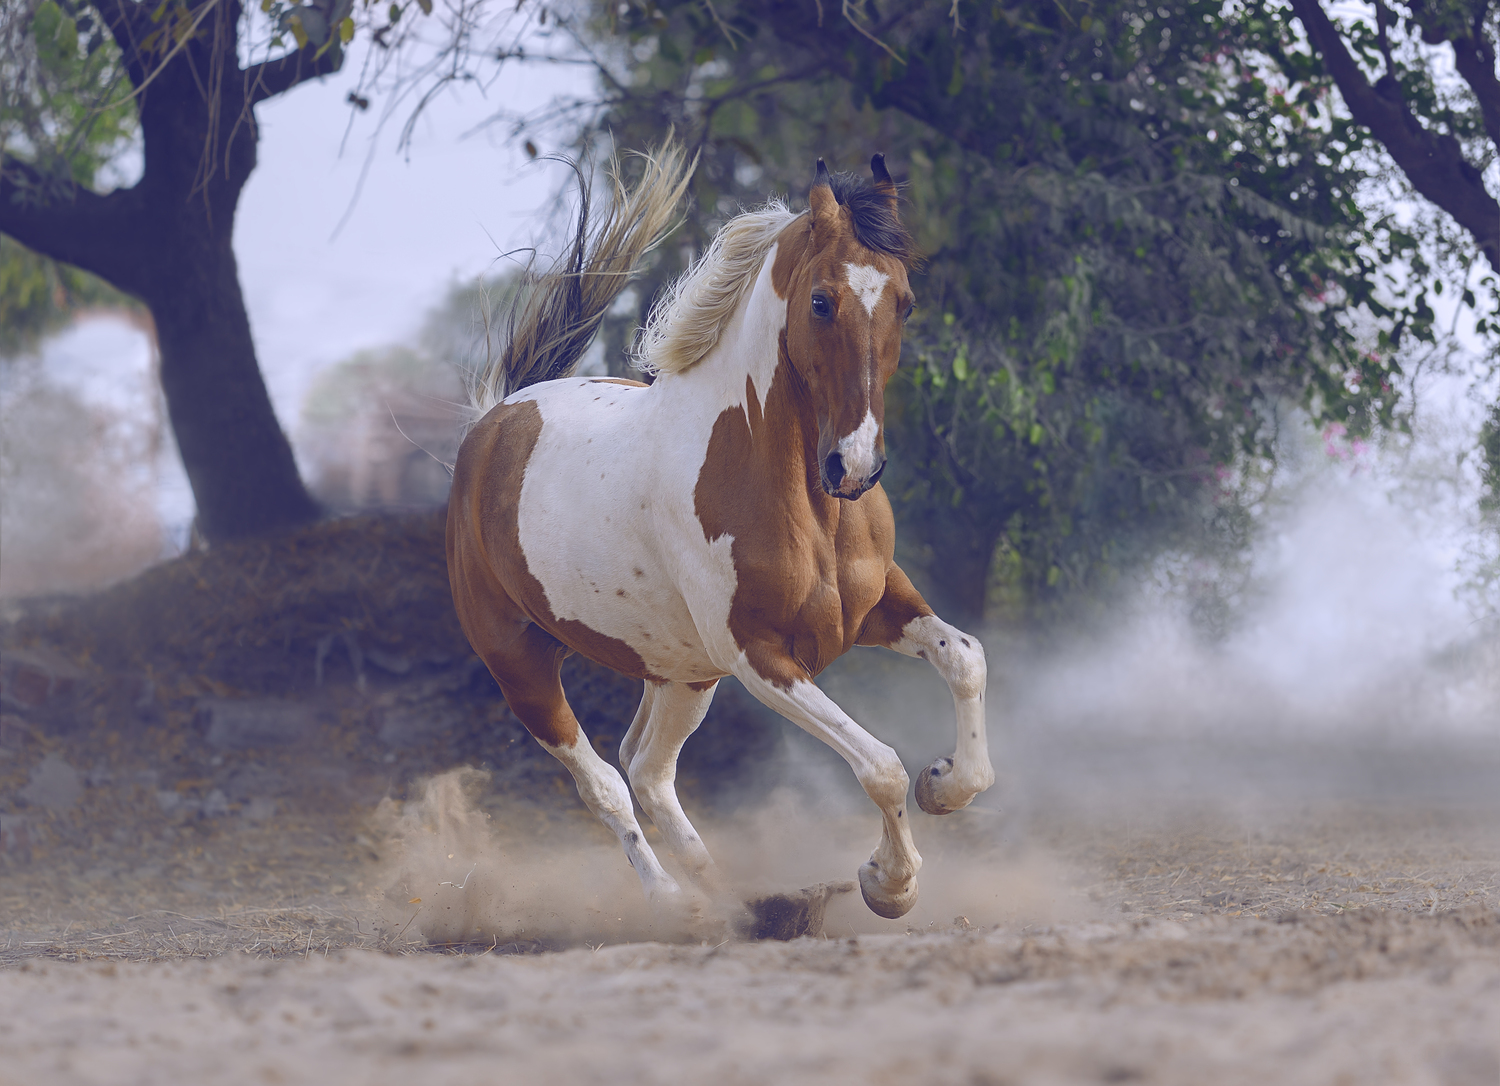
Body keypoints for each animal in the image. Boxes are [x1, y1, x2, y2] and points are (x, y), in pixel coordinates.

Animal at [446, 143, 994, 921]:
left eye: (905, 301)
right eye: (821, 301)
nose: (853, 465)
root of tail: (494, 422)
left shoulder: (877, 606)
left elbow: (965, 657)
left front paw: (946, 784)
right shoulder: (760, 656)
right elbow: (881, 766)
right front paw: (889, 885)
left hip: (681, 670)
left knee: (647, 768)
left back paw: (735, 898)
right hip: (521, 665)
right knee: (606, 785)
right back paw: (678, 903)